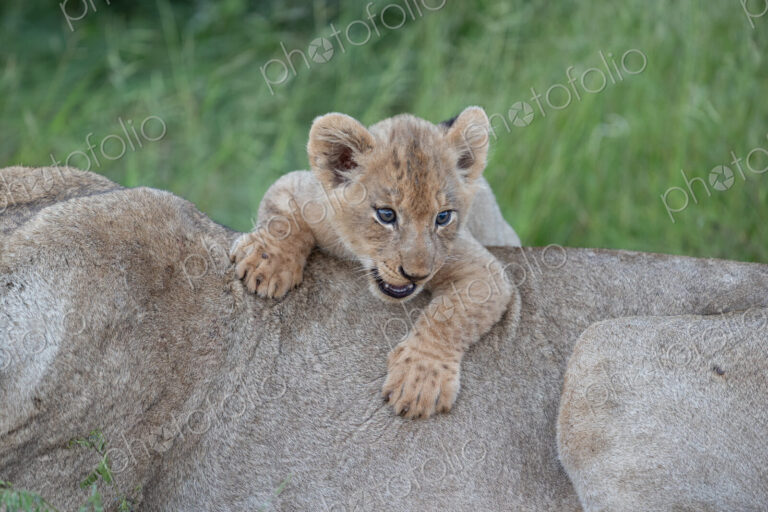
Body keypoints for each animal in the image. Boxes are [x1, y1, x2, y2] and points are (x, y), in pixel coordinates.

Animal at [230, 107, 518, 419]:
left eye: (443, 217)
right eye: (386, 215)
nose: (417, 275)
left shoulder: (483, 270)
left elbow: (450, 316)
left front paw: (420, 380)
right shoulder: (299, 187)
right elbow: (282, 218)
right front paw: (266, 264)